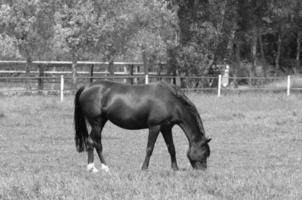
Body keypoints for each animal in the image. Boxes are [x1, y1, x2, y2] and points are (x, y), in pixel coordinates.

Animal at [73, 79, 210, 172]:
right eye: (205, 152)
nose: (202, 170)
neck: (170, 101)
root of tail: (86, 87)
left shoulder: (166, 128)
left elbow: (171, 148)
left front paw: (175, 168)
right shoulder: (155, 127)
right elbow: (149, 148)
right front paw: (144, 168)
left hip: (99, 122)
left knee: (90, 142)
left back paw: (92, 168)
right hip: (96, 122)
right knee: (97, 143)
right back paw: (105, 167)